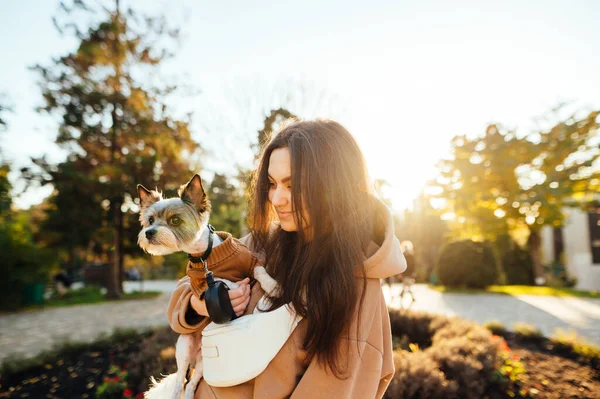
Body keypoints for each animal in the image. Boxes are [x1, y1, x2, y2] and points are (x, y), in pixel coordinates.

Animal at [137, 174, 278, 399]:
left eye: (175, 220)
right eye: (150, 220)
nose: (149, 232)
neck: (205, 254)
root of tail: (195, 357)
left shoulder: (251, 261)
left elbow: (259, 272)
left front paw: (271, 285)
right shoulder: (199, 285)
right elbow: (222, 281)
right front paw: (235, 287)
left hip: (204, 362)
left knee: (192, 384)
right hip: (184, 347)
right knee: (180, 383)